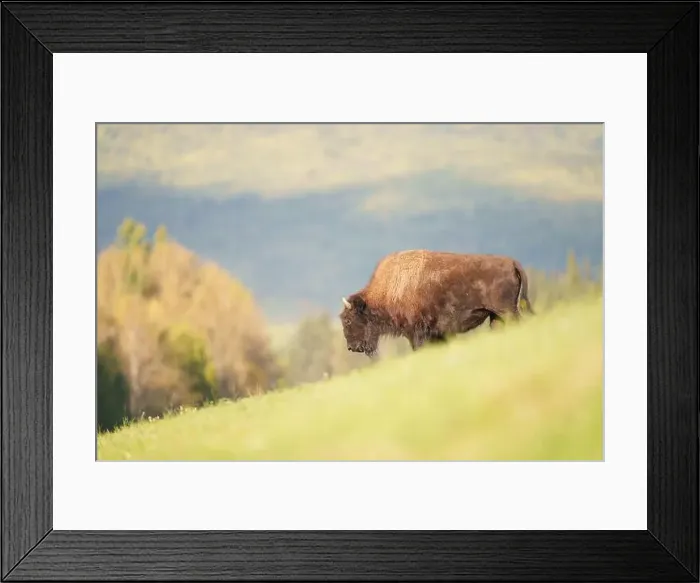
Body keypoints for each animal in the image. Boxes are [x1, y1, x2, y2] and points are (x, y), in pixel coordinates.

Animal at [339, 250, 534, 357]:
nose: (351, 347)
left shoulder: (417, 333)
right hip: (496, 316)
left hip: (506, 311)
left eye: (348, 320)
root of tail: (512, 263)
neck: (389, 290)